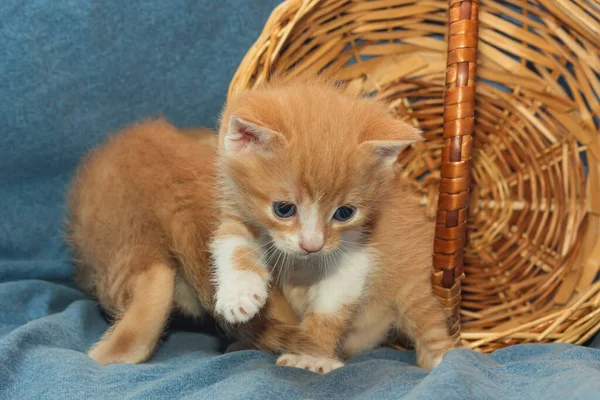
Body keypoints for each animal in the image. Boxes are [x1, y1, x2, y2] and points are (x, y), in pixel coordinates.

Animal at [213, 79, 452, 374]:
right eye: (283, 209)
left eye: (344, 213)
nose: (312, 246)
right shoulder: (237, 213)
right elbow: (232, 244)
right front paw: (239, 294)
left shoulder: (356, 252)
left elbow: (330, 308)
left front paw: (311, 354)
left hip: (412, 285)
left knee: (429, 323)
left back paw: (441, 361)